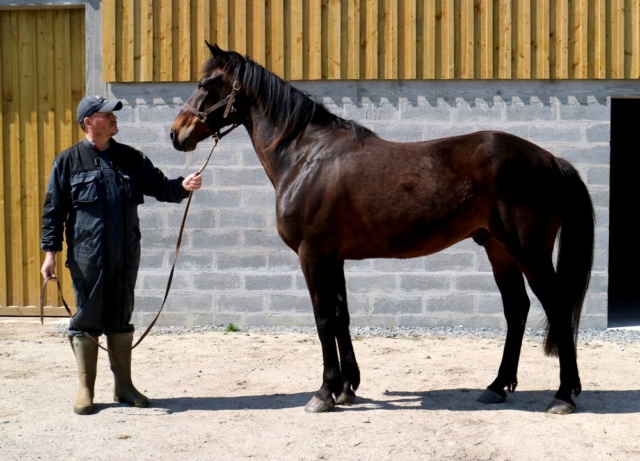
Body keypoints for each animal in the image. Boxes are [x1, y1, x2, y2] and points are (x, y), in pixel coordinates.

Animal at [170, 43, 596, 416]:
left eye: (206, 83)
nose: (176, 134)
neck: (306, 156)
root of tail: (550, 159)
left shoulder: (313, 254)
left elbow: (323, 321)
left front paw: (323, 393)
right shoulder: (333, 257)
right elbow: (341, 317)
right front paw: (346, 388)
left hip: (529, 252)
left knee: (557, 308)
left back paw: (563, 396)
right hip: (499, 249)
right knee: (517, 309)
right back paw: (496, 387)